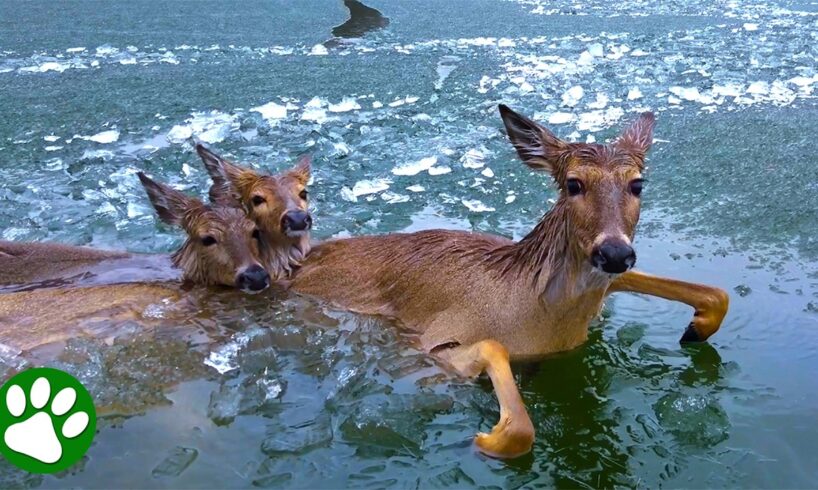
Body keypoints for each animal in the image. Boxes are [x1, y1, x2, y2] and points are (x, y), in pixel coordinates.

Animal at [204, 105, 730, 459]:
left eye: (637, 183)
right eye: (573, 183)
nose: (614, 250)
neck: (537, 313)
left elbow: (715, 290)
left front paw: (696, 327)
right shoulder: (435, 342)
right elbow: (501, 379)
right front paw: (490, 436)